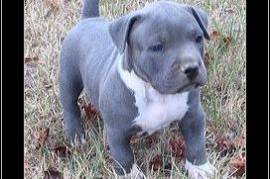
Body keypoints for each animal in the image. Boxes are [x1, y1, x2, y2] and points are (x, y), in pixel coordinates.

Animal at [59, 0, 217, 178]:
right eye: (157, 47)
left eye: (198, 38)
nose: (192, 68)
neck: (157, 93)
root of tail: (89, 19)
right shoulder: (117, 132)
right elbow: (123, 157)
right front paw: (130, 174)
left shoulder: (193, 116)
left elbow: (196, 143)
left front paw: (200, 168)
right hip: (69, 77)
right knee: (70, 104)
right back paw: (76, 134)